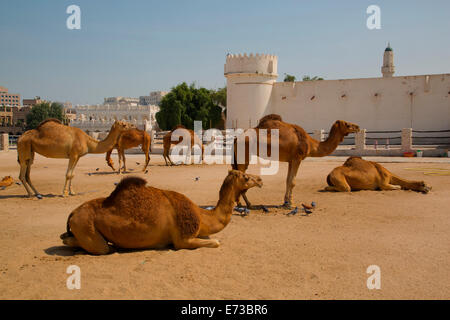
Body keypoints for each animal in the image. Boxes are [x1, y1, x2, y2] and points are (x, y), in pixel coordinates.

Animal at [60, 170, 264, 255]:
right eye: (246, 177)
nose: (260, 179)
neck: (202, 215)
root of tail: (72, 214)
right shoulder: (183, 239)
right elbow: (216, 242)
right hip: (87, 227)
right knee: (102, 247)